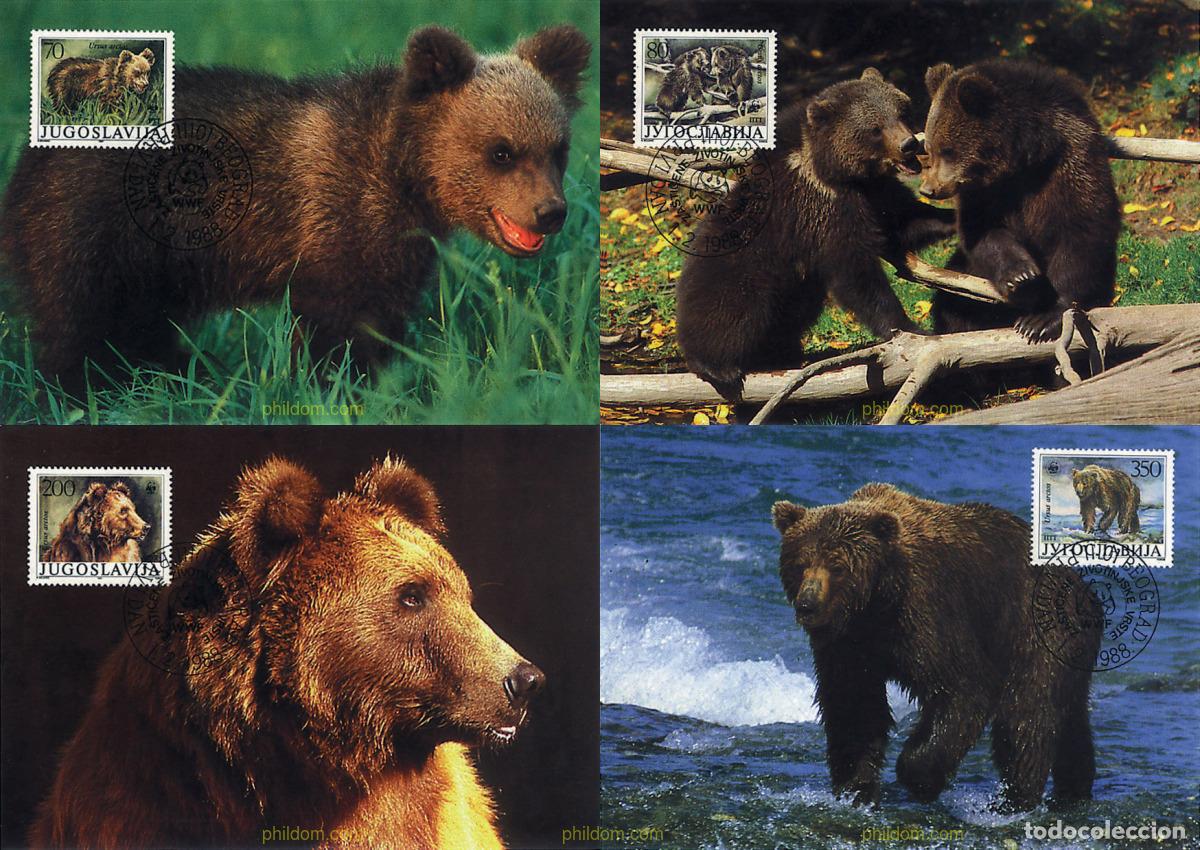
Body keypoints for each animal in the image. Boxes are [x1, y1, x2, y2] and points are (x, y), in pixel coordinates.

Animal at [2, 25, 591, 378]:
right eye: (501, 151)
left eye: (557, 148)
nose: (551, 211)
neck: (402, 175)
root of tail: (26, 163)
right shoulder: (331, 224)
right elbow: (337, 326)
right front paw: (341, 384)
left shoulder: (396, 250)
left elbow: (382, 317)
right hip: (93, 231)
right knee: (78, 324)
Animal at [675, 69, 956, 401]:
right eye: (874, 129)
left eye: (902, 111)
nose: (909, 144)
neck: (836, 172)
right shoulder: (822, 209)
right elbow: (856, 274)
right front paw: (909, 327)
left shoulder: (873, 194)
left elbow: (904, 221)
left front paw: (957, 218)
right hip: (739, 268)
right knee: (733, 308)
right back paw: (717, 366)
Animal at [772, 483, 1100, 811]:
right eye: (800, 563)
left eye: (837, 565)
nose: (807, 605)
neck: (876, 604)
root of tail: (1082, 587)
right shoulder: (848, 643)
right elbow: (853, 705)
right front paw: (856, 789)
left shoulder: (927, 610)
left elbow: (962, 687)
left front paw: (921, 779)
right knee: (1071, 719)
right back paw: (1074, 789)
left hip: (1035, 631)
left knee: (1026, 712)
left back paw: (1015, 799)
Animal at [919, 60, 1120, 342]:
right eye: (929, 148)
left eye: (947, 150)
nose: (928, 189)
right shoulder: (984, 193)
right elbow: (982, 232)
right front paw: (1021, 276)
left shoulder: (1068, 165)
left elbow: (1080, 231)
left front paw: (1042, 319)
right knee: (953, 305)